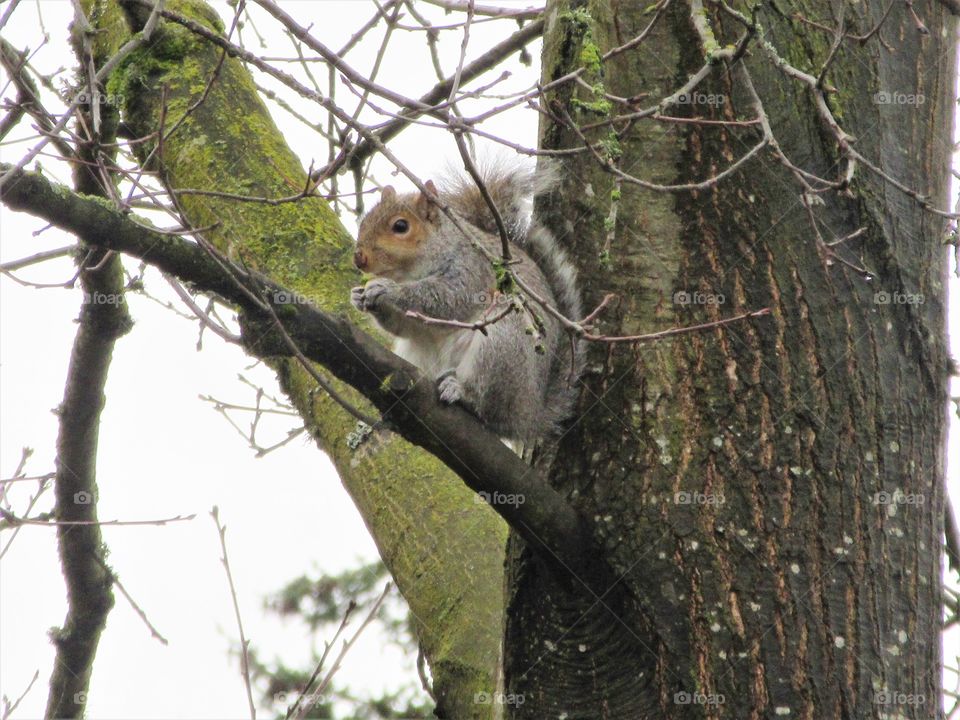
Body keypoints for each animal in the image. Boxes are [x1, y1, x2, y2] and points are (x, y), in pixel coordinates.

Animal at [350, 163, 582, 444]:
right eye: (365, 221)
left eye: (401, 226)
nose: (359, 257)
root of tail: (529, 418)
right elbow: (405, 326)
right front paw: (359, 297)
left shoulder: (470, 269)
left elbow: (445, 298)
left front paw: (387, 289)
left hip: (504, 341)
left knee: (486, 405)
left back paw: (460, 390)